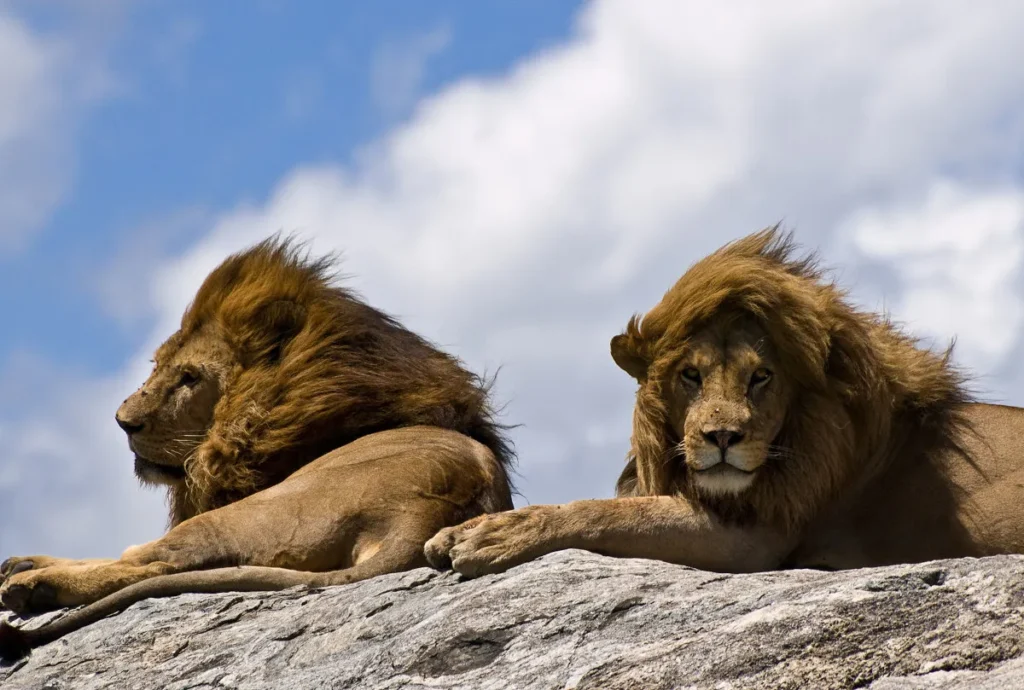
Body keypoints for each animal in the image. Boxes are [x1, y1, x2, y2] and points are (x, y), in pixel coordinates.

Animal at [0, 238, 513, 660]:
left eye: (190, 378)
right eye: (157, 366)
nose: (123, 422)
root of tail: (420, 518)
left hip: (251, 513)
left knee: (154, 561)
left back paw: (32, 584)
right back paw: (24, 566)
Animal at [425, 227, 1024, 578]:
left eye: (761, 377)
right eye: (690, 375)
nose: (722, 438)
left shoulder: (757, 537)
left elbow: (610, 511)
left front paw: (494, 535)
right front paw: (460, 531)